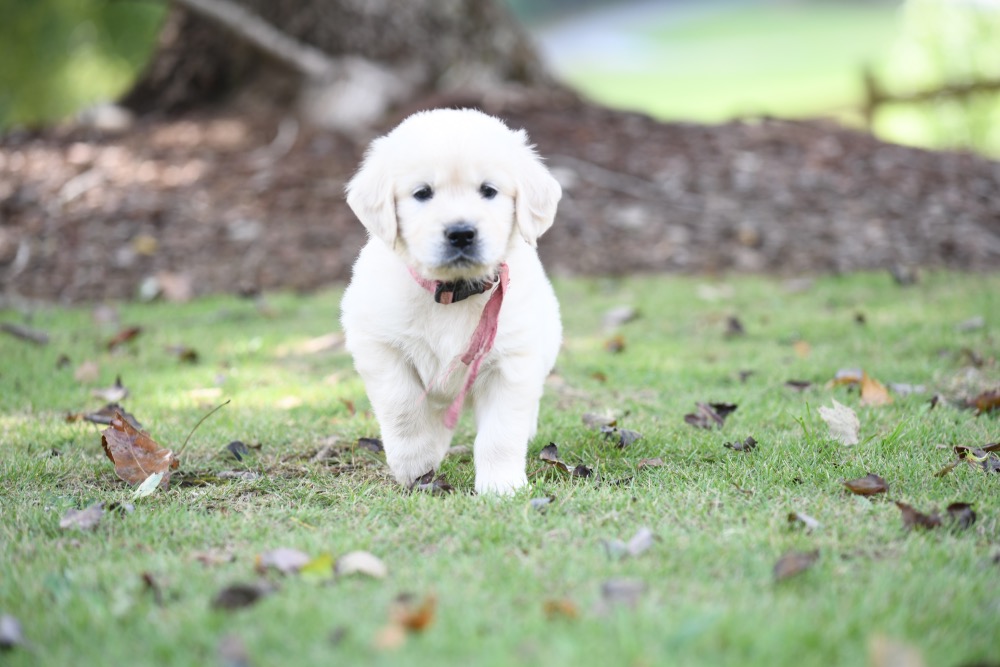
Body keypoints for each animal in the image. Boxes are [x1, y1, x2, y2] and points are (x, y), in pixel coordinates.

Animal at [340, 109, 564, 496]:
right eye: (422, 193)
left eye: (488, 190)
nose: (461, 233)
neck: (453, 292)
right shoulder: (379, 344)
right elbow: (402, 405)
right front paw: (415, 464)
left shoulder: (512, 362)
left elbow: (501, 432)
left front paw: (501, 485)